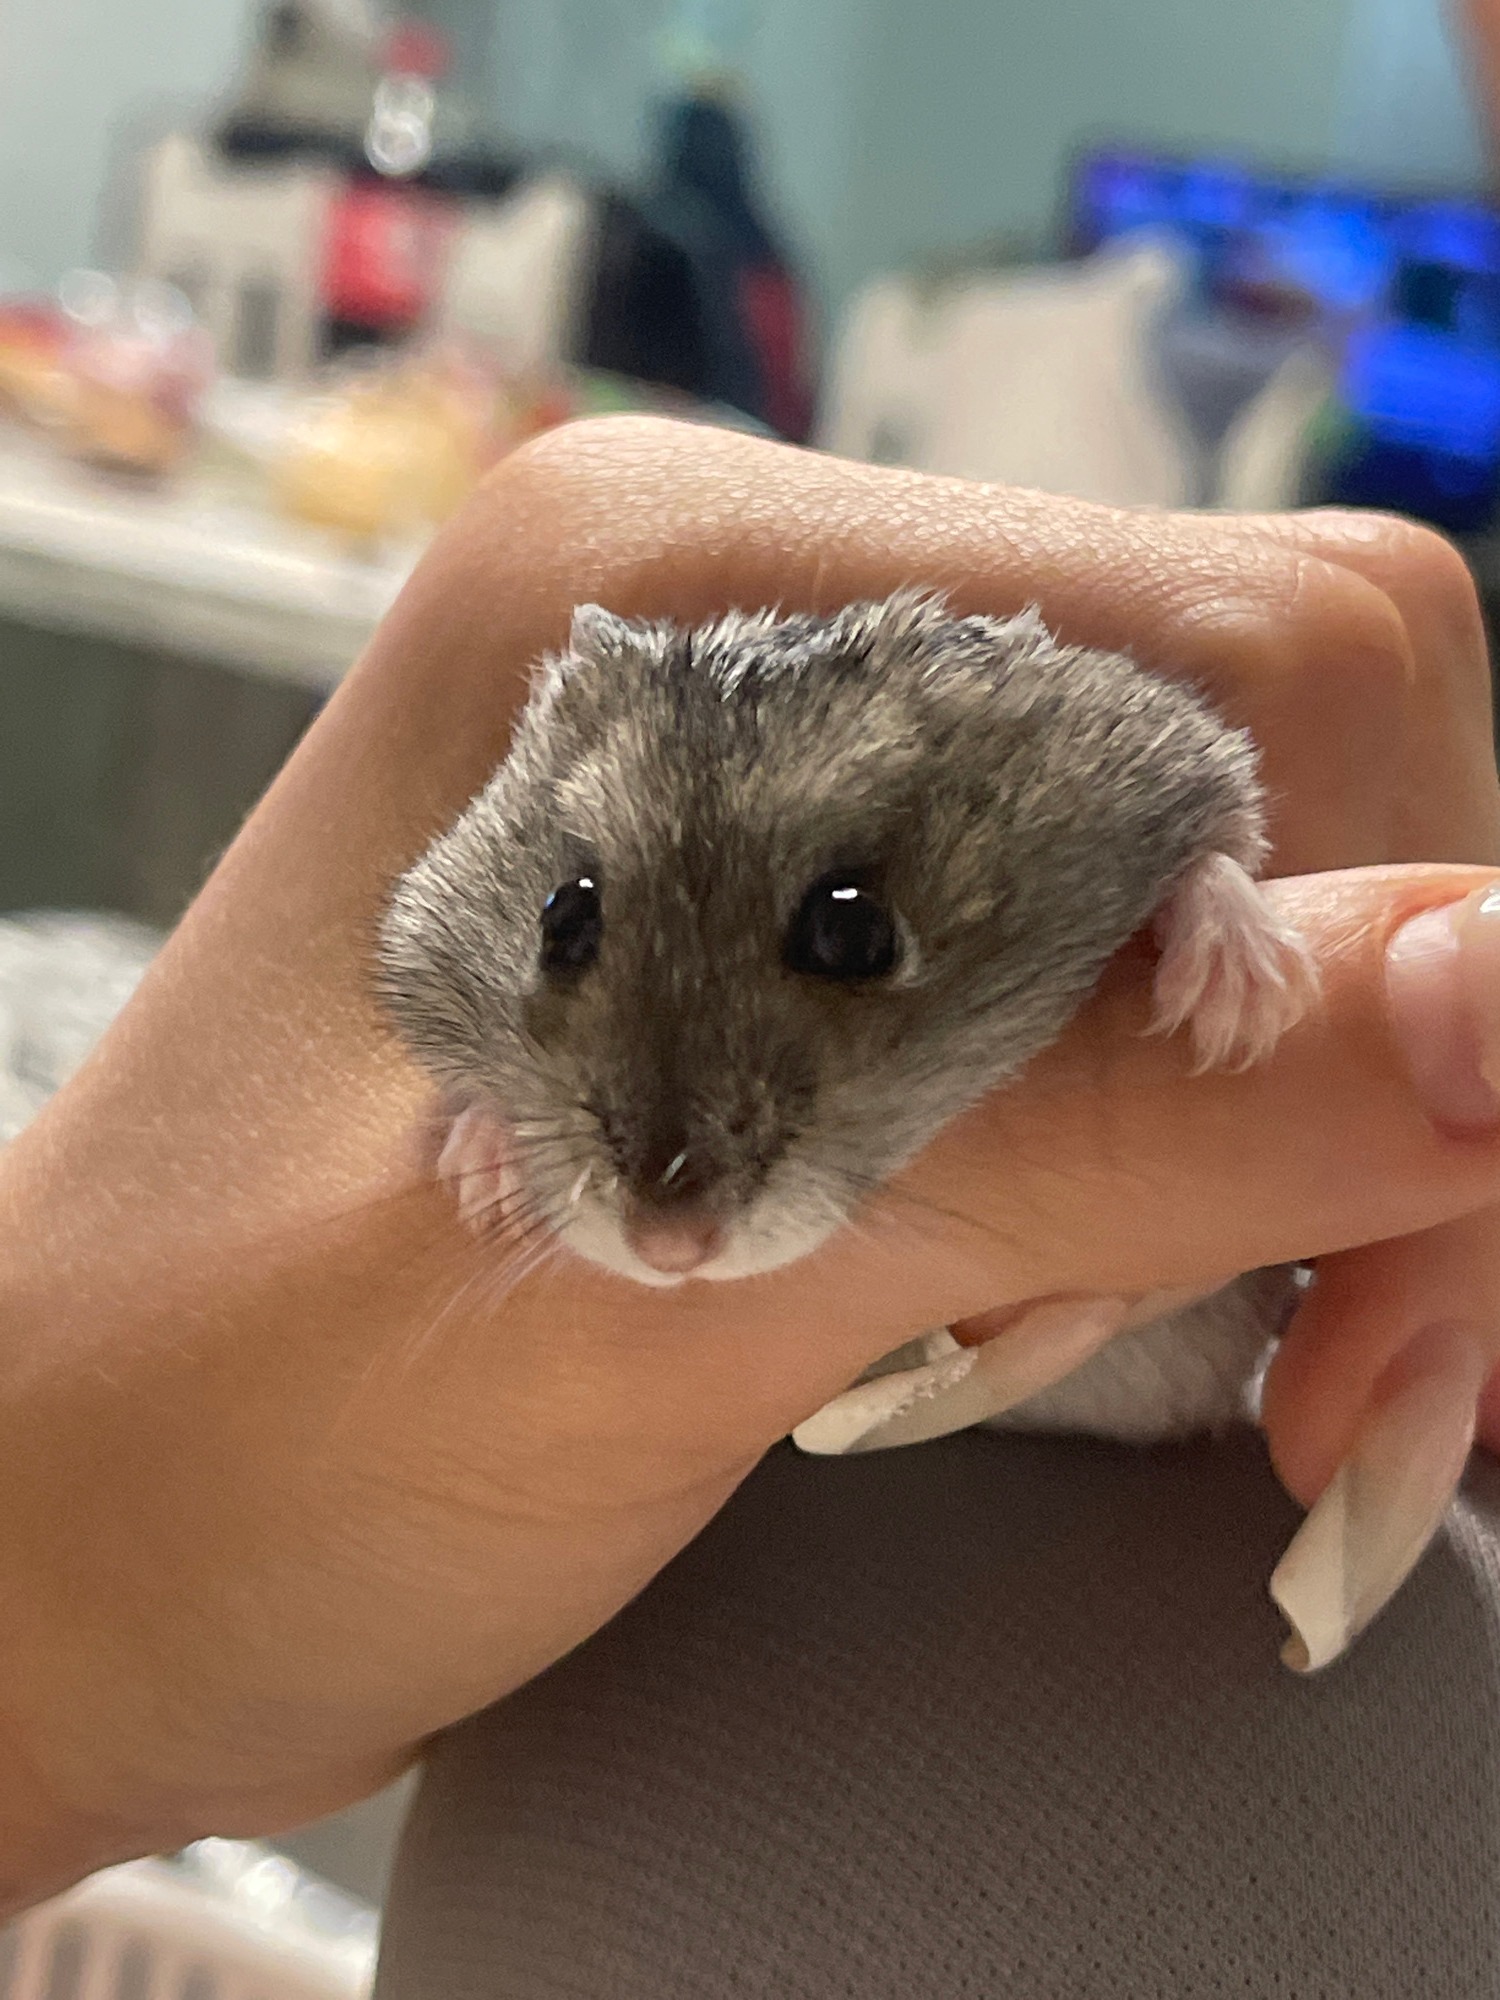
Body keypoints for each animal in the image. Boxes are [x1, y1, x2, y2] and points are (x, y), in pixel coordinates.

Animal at [378, 590, 1316, 1446]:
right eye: (561, 919)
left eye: (854, 930)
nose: (670, 1252)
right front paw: (480, 1180)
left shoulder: (1172, 751)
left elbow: (1223, 850)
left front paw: (1243, 1017)